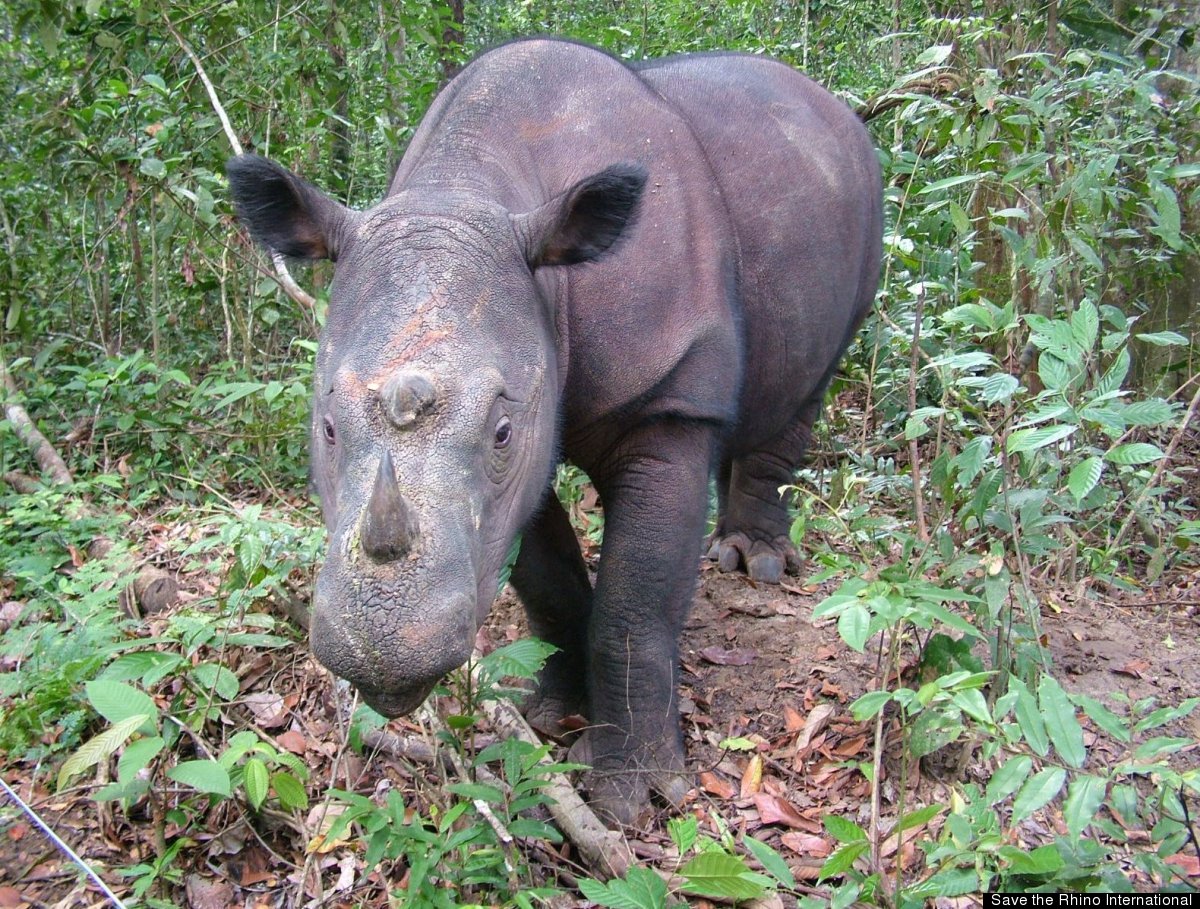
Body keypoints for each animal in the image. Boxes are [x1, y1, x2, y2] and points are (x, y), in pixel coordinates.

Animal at [226, 39, 883, 829]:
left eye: (502, 430)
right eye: (325, 425)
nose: (382, 649)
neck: (471, 190)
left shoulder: (666, 398)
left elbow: (634, 605)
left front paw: (635, 794)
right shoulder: (522, 451)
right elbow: (547, 580)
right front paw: (549, 713)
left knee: (810, 381)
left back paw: (753, 564)